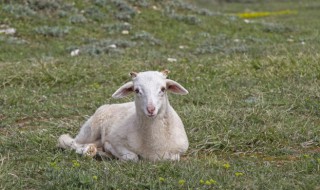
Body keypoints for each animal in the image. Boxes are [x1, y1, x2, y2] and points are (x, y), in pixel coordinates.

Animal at [57, 70, 189, 162]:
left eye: (163, 89)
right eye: (136, 90)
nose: (151, 109)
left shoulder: (179, 150)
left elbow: (173, 158)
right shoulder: (116, 141)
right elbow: (132, 157)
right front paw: (110, 151)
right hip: (90, 130)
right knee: (71, 142)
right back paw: (88, 150)